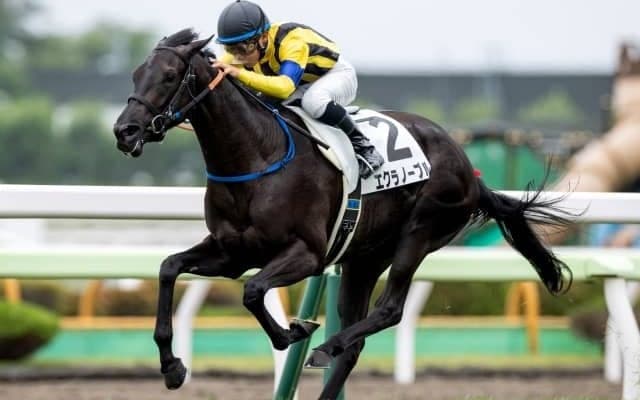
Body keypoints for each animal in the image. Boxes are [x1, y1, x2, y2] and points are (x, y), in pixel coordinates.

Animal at [113, 29, 571, 400]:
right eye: (135, 75)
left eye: (169, 76)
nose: (124, 131)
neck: (257, 155)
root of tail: (470, 171)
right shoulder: (232, 254)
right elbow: (169, 268)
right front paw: (172, 367)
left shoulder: (306, 254)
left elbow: (253, 292)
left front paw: (295, 331)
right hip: (363, 258)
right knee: (355, 342)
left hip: (419, 232)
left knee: (389, 310)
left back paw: (324, 346)